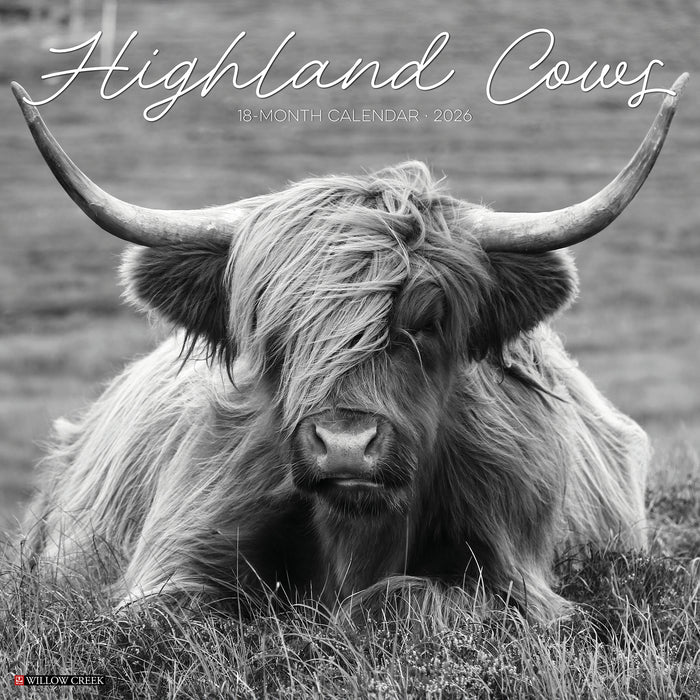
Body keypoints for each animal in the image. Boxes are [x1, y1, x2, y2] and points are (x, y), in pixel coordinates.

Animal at [11, 74, 687, 621]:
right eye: (272, 327)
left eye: (429, 321)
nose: (344, 444)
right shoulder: (171, 562)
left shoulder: (521, 580)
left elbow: (406, 596)